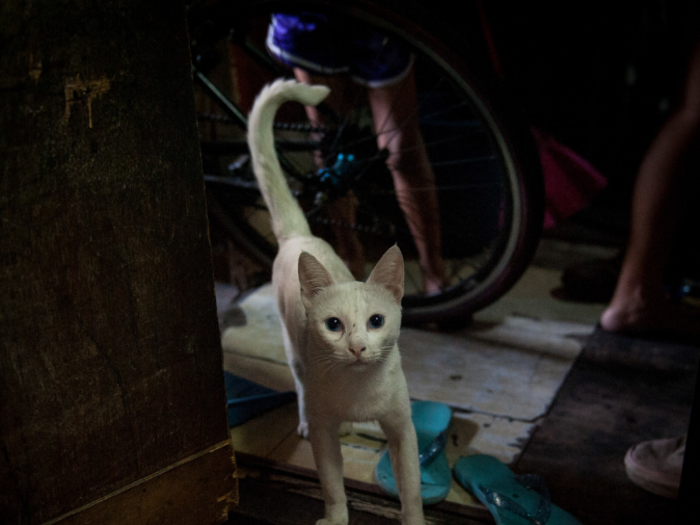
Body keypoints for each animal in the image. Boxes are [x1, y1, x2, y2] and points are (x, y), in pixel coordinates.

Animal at [249, 79, 424, 524]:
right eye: (334, 325)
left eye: (377, 321)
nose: (358, 347)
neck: (358, 392)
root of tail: (300, 235)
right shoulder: (324, 433)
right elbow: (331, 486)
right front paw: (336, 517)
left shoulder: (403, 428)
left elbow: (411, 490)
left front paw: (413, 517)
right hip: (294, 350)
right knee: (299, 384)